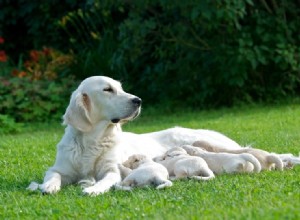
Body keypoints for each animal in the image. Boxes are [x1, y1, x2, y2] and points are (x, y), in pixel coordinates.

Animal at [27, 76, 300, 196]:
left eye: (121, 87)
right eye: (107, 89)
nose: (138, 100)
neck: (92, 141)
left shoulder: (112, 169)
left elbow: (107, 179)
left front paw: (94, 188)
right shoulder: (59, 168)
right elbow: (53, 176)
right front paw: (48, 186)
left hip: (214, 143)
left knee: (274, 153)